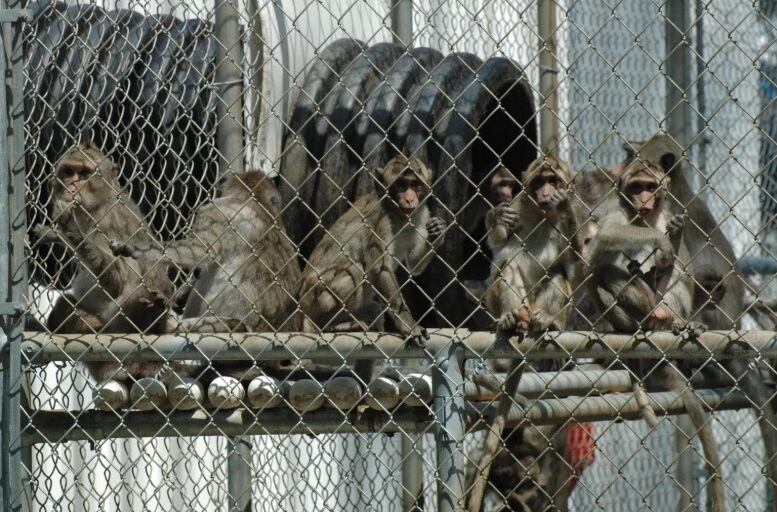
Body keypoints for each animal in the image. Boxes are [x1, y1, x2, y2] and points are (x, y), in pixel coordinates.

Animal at [32, 141, 175, 386]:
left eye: (84, 173)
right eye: (69, 171)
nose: (72, 186)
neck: (96, 205)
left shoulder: (110, 220)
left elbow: (119, 279)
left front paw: (69, 228)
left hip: (118, 330)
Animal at [298, 155, 446, 380]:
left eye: (416, 185)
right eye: (401, 185)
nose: (409, 200)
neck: (397, 213)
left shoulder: (421, 213)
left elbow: (414, 265)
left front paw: (438, 231)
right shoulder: (379, 219)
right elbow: (379, 269)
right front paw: (409, 325)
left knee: (374, 308)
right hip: (313, 297)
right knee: (354, 270)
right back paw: (329, 325)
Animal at [468, 156, 578, 512]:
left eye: (554, 181)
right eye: (539, 181)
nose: (546, 192)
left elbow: (575, 260)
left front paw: (564, 208)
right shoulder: (517, 203)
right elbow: (499, 245)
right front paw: (496, 217)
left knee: (557, 274)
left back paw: (547, 322)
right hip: (504, 302)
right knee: (507, 263)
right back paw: (510, 319)